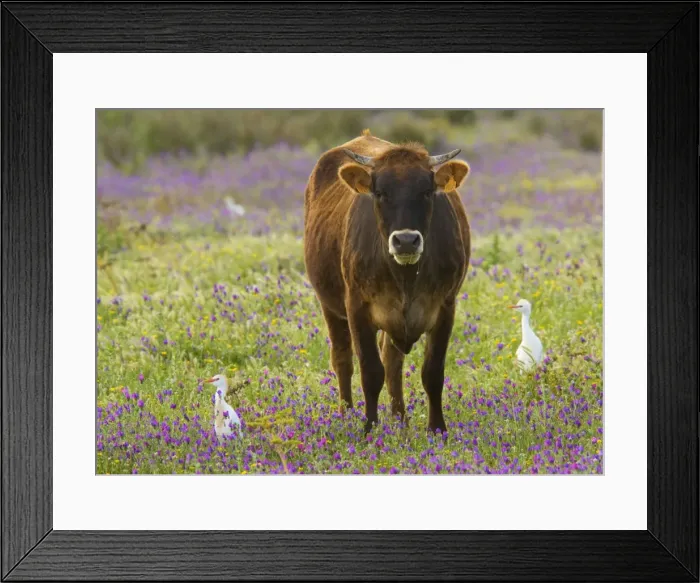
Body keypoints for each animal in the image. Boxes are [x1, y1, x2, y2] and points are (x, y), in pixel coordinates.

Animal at [303, 130, 471, 435]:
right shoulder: (356, 307)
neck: (406, 277)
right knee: (343, 359)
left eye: (426, 192)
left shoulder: (445, 306)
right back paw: (346, 415)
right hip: (329, 305)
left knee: (393, 363)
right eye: (380, 193)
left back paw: (400, 419)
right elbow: (370, 371)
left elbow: (432, 372)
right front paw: (369, 428)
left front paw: (437, 430)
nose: (405, 240)